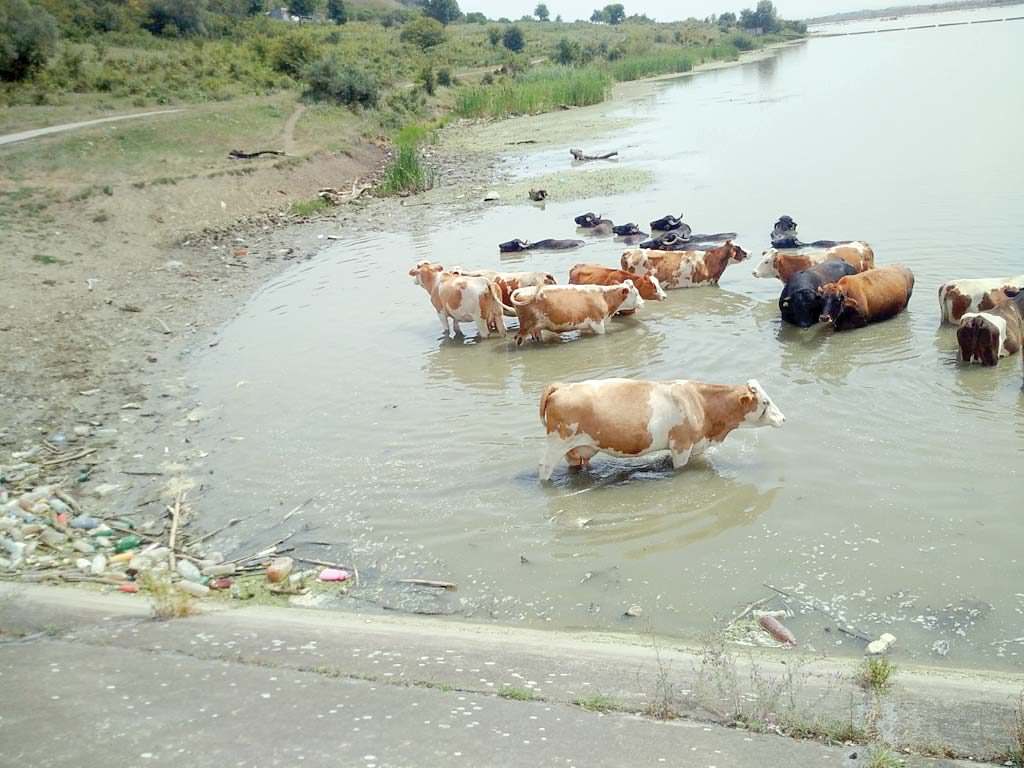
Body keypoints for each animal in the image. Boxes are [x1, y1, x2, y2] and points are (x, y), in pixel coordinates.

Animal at [509, 282, 643, 346]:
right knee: (517, 339)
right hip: (525, 326)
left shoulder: (586, 325)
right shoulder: (597, 323)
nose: (643, 303)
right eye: (636, 293)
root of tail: (520, 290)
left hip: (535, 328)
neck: (604, 296)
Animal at [536, 378, 782, 481]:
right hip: (557, 444)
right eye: (766, 402)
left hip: (578, 449)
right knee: (544, 470)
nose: (783, 418)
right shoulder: (681, 446)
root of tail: (562, 386)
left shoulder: (696, 445)